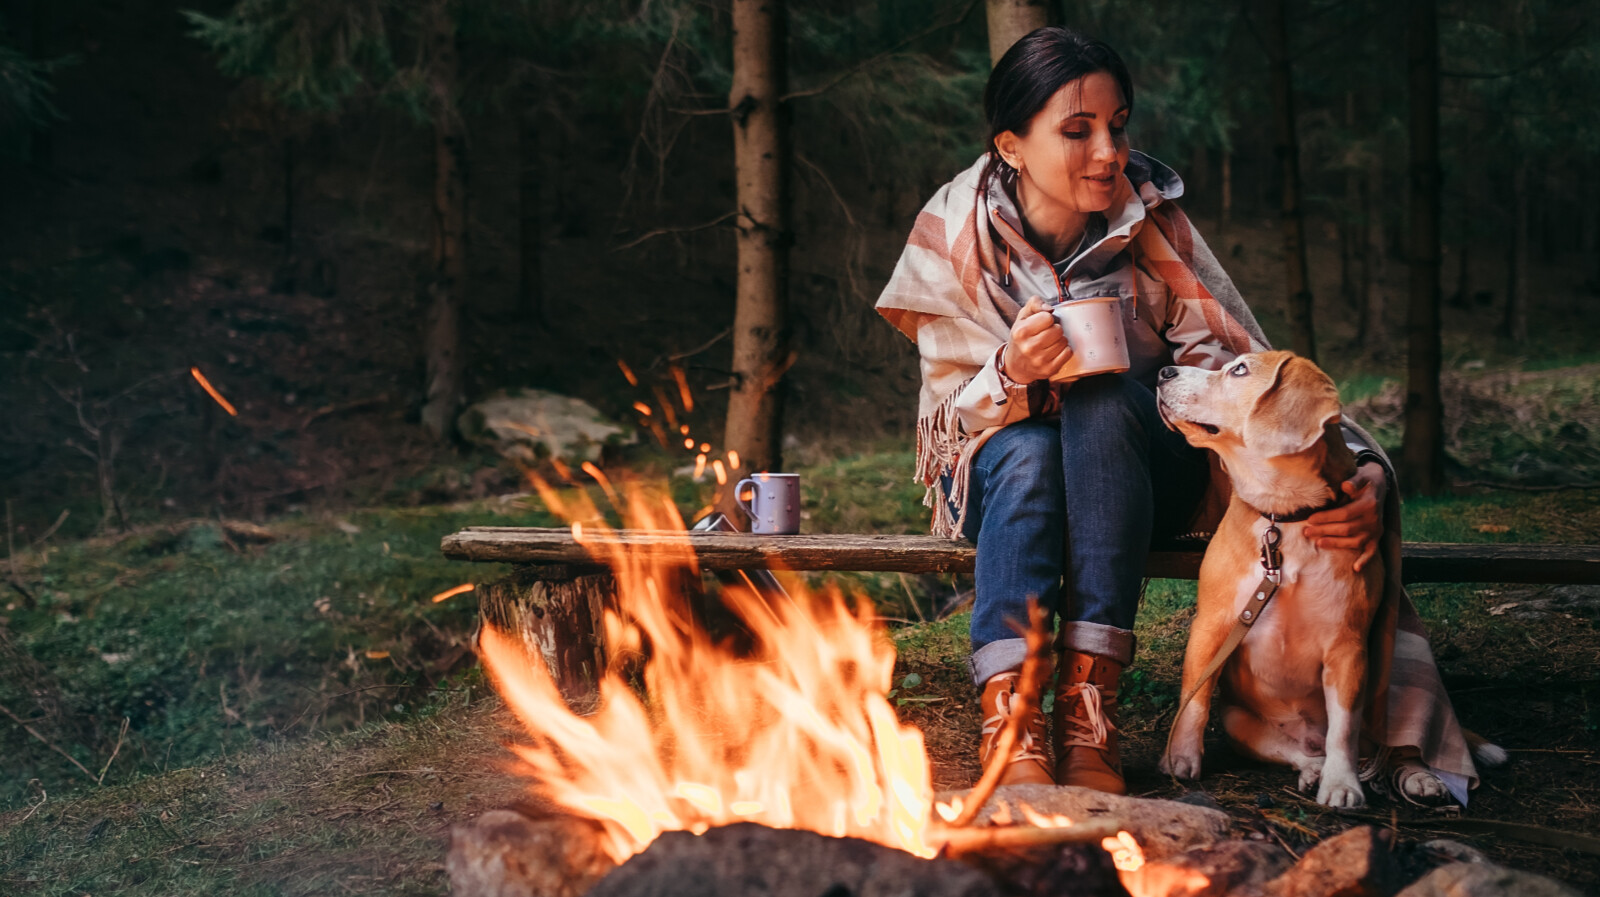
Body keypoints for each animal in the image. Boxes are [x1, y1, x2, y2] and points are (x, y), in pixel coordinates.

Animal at [1152, 350, 1388, 805]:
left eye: (1239, 370)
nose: (1163, 371)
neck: (1284, 516)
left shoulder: (1347, 647)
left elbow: (1343, 729)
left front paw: (1341, 783)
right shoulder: (1213, 624)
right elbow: (1194, 699)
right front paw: (1181, 758)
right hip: (1239, 720)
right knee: (1295, 753)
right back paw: (1312, 768)